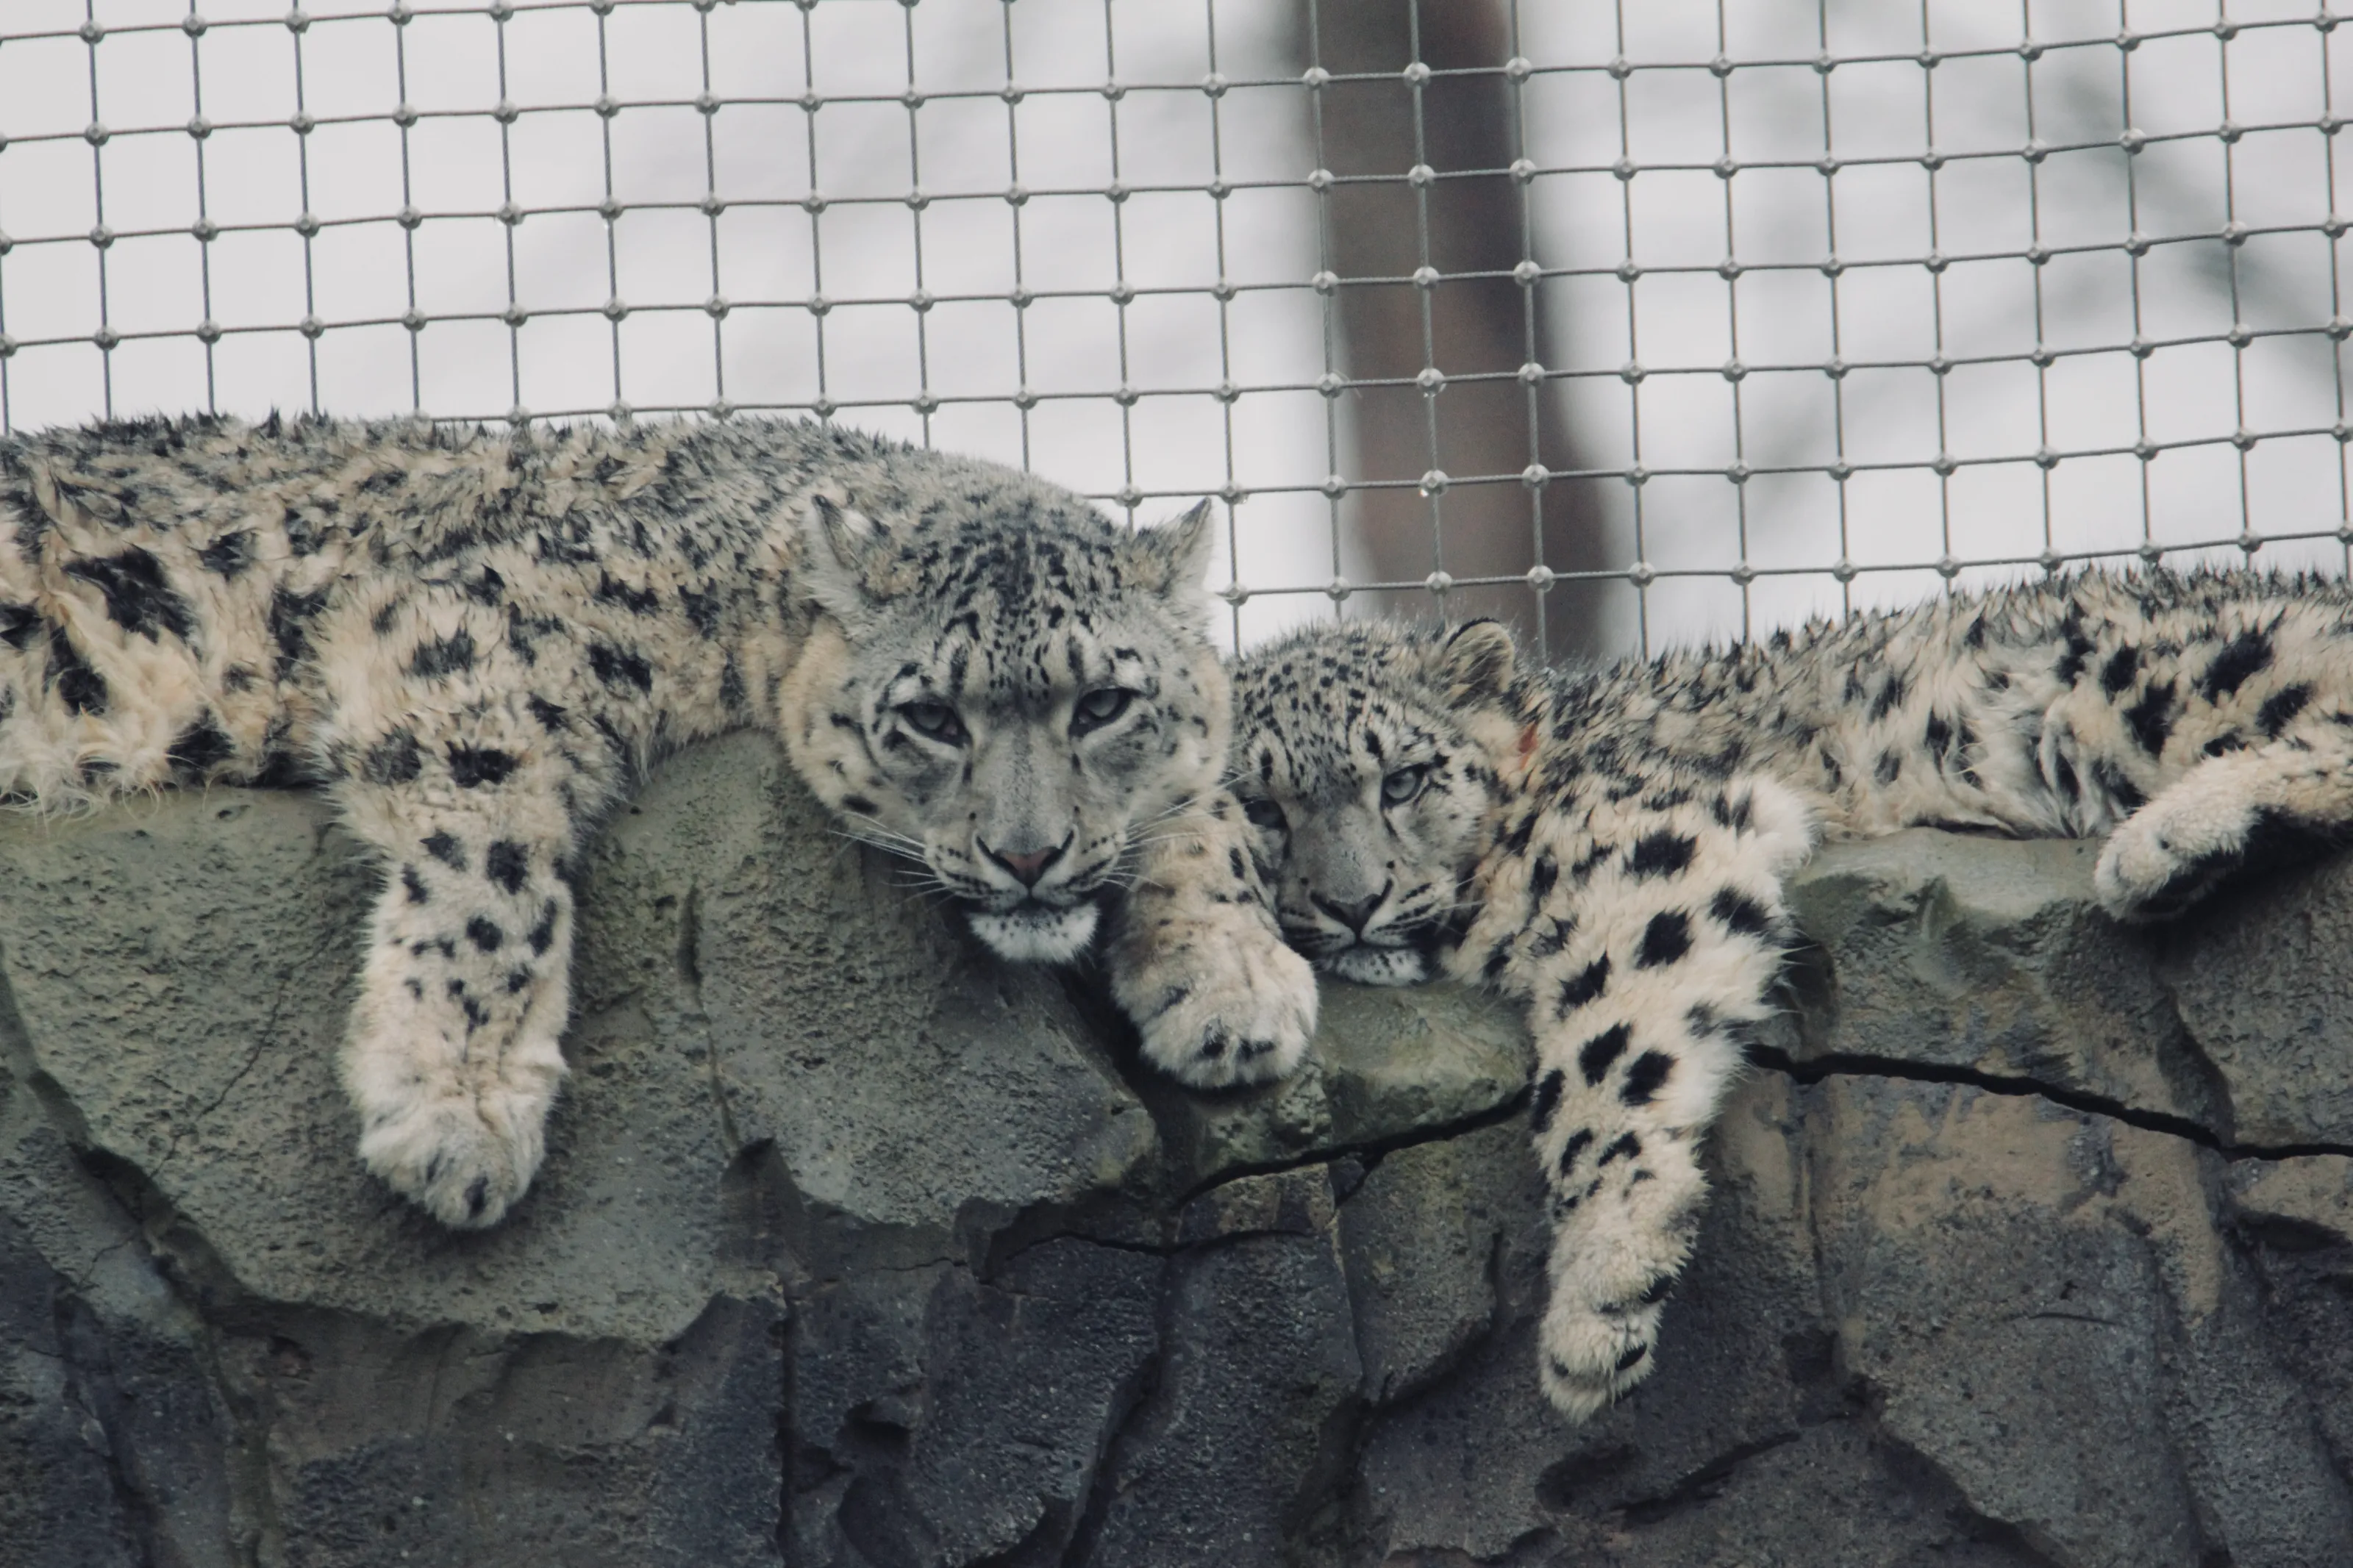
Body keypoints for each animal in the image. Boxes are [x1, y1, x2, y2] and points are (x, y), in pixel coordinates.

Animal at [0, 413, 1314, 1230]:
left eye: (1104, 702)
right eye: (933, 716)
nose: (1028, 854)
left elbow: (1206, 797)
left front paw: (1234, 981)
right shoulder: (466, 623)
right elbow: (491, 864)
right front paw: (457, 1108)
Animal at [1229, 567, 2353, 1421]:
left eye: (1404, 779)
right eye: (1261, 808)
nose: (1354, 903)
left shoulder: (1650, 842)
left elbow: (1605, 1054)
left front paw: (1599, 1296)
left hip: (2161, 676)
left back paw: (2163, 842)